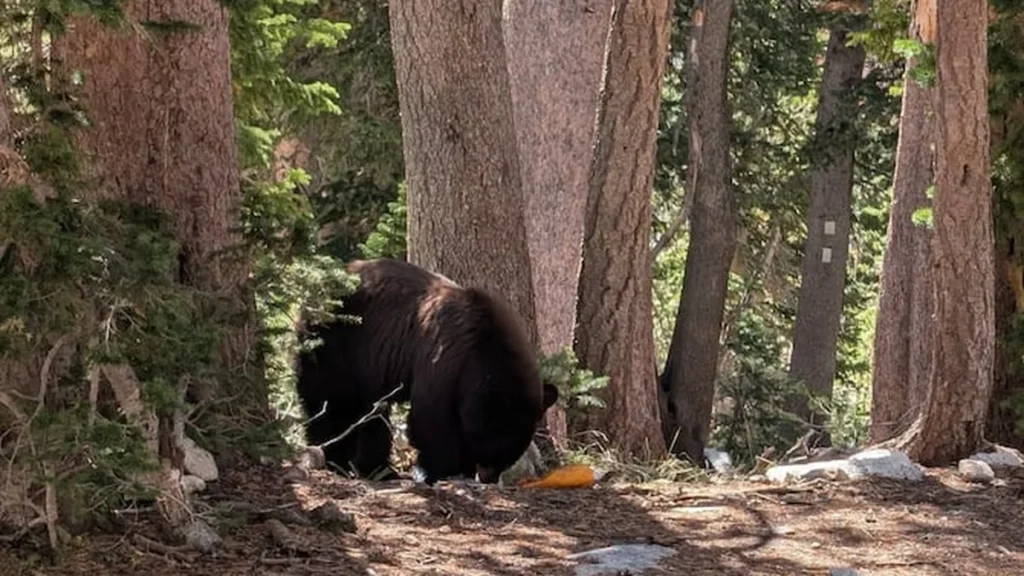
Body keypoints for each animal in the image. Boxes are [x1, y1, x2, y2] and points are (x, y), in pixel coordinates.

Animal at [294, 258, 559, 485]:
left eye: (511, 453)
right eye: (494, 445)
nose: (489, 477)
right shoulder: (443, 362)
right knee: (330, 404)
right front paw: (443, 470)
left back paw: (378, 470)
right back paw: (335, 459)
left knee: (372, 415)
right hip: (333, 345)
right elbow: (432, 419)